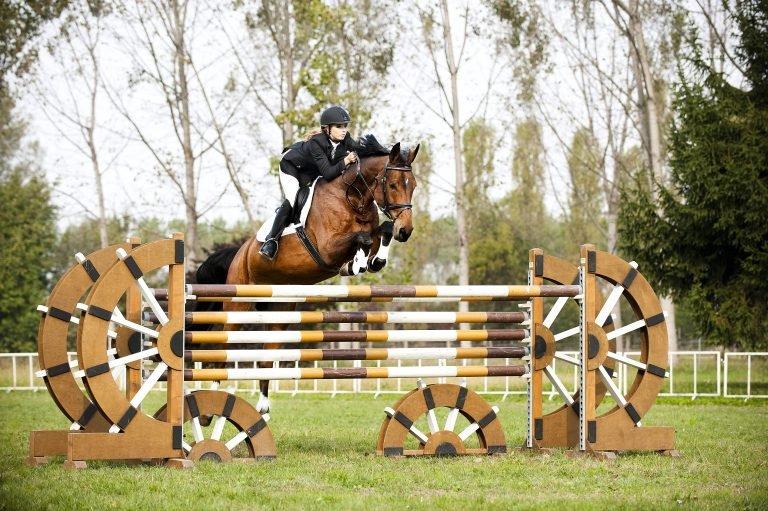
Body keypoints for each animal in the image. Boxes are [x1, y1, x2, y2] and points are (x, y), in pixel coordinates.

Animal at [195, 136, 420, 411]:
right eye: (393, 184)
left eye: (413, 186)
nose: (405, 231)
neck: (352, 196)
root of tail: (239, 252)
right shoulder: (327, 247)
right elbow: (362, 238)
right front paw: (356, 264)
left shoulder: (372, 232)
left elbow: (380, 232)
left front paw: (371, 261)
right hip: (239, 304)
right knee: (222, 346)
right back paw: (215, 394)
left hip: (279, 311)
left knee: (266, 357)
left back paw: (263, 408)